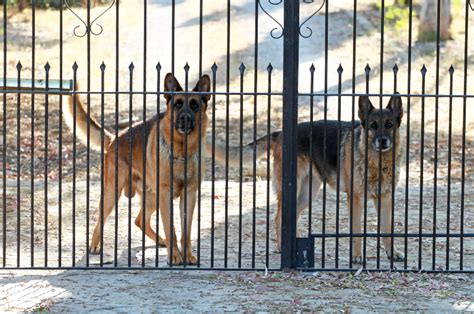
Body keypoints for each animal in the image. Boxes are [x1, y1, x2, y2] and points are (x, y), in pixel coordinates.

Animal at [64, 73, 211, 264]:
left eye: (194, 105)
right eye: (178, 104)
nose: (184, 118)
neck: (181, 151)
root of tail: (114, 139)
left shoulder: (189, 195)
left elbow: (186, 232)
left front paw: (187, 255)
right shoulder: (166, 195)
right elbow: (170, 228)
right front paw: (174, 256)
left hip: (152, 197)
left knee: (140, 220)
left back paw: (160, 241)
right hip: (113, 193)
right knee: (100, 219)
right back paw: (95, 245)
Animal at [209, 94, 406, 264]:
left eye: (389, 124)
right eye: (373, 125)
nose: (383, 141)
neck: (377, 163)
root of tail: (281, 133)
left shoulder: (385, 200)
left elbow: (387, 230)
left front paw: (393, 253)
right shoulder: (356, 200)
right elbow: (357, 231)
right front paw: (357, 256)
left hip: (307, 195)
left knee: (292, 216)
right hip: (292, 189)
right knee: (279, 217)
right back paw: (282, 247)